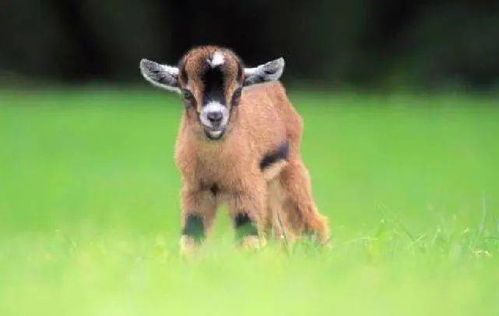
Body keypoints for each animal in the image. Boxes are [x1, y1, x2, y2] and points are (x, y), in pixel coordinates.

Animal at [139, 45, 330, 252]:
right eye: (186, 93)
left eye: (238, 92)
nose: (215, 117)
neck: (215, 167)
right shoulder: (195, 190)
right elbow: (192, 235)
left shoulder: (246, 188)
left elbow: (248, 236)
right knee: (276, 232)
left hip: (289, 171)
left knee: (311, 221)